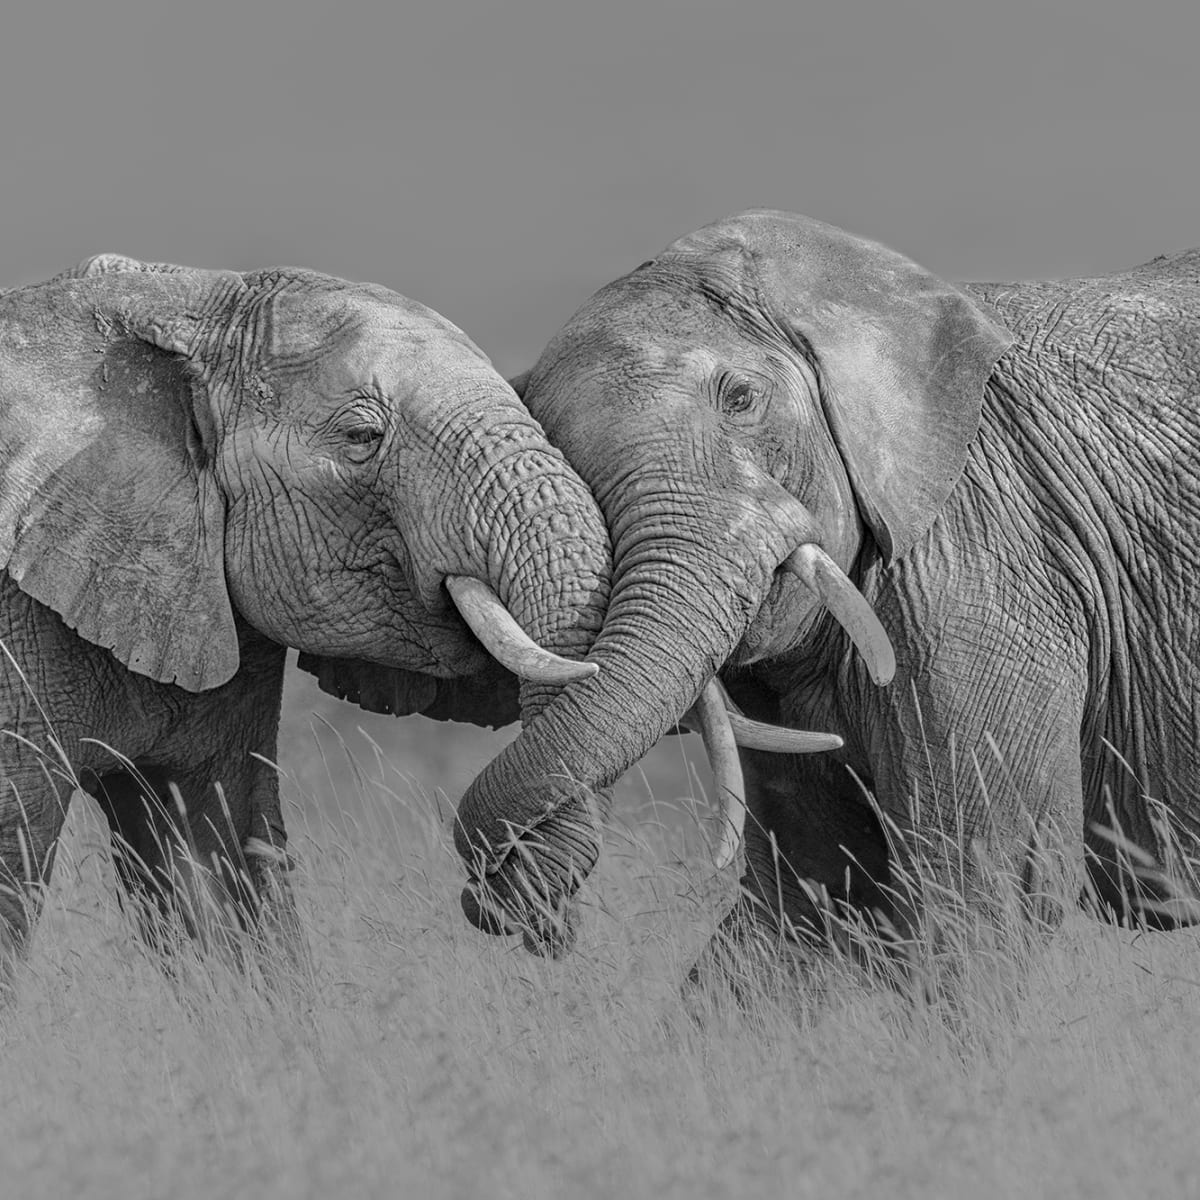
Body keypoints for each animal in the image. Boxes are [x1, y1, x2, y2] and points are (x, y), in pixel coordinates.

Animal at [452, 208, 1200, 979]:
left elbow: (984, 890)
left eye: (742, 399)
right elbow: (808, 900)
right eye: (555, 449)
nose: (535, 922)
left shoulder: (985, 564)